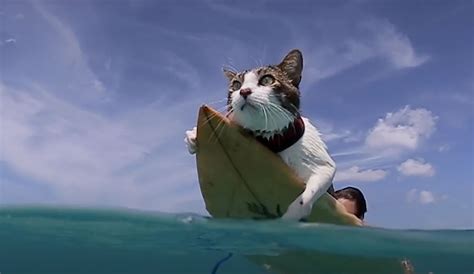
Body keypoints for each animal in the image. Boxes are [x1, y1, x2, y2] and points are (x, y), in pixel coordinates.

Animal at [185, 49, 336, 220]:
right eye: (236, 85)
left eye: (267, 80)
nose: (244, 91)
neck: (272, 139)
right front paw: (193, 135)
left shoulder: (323, 164)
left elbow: (312, 188)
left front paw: (292, 214)